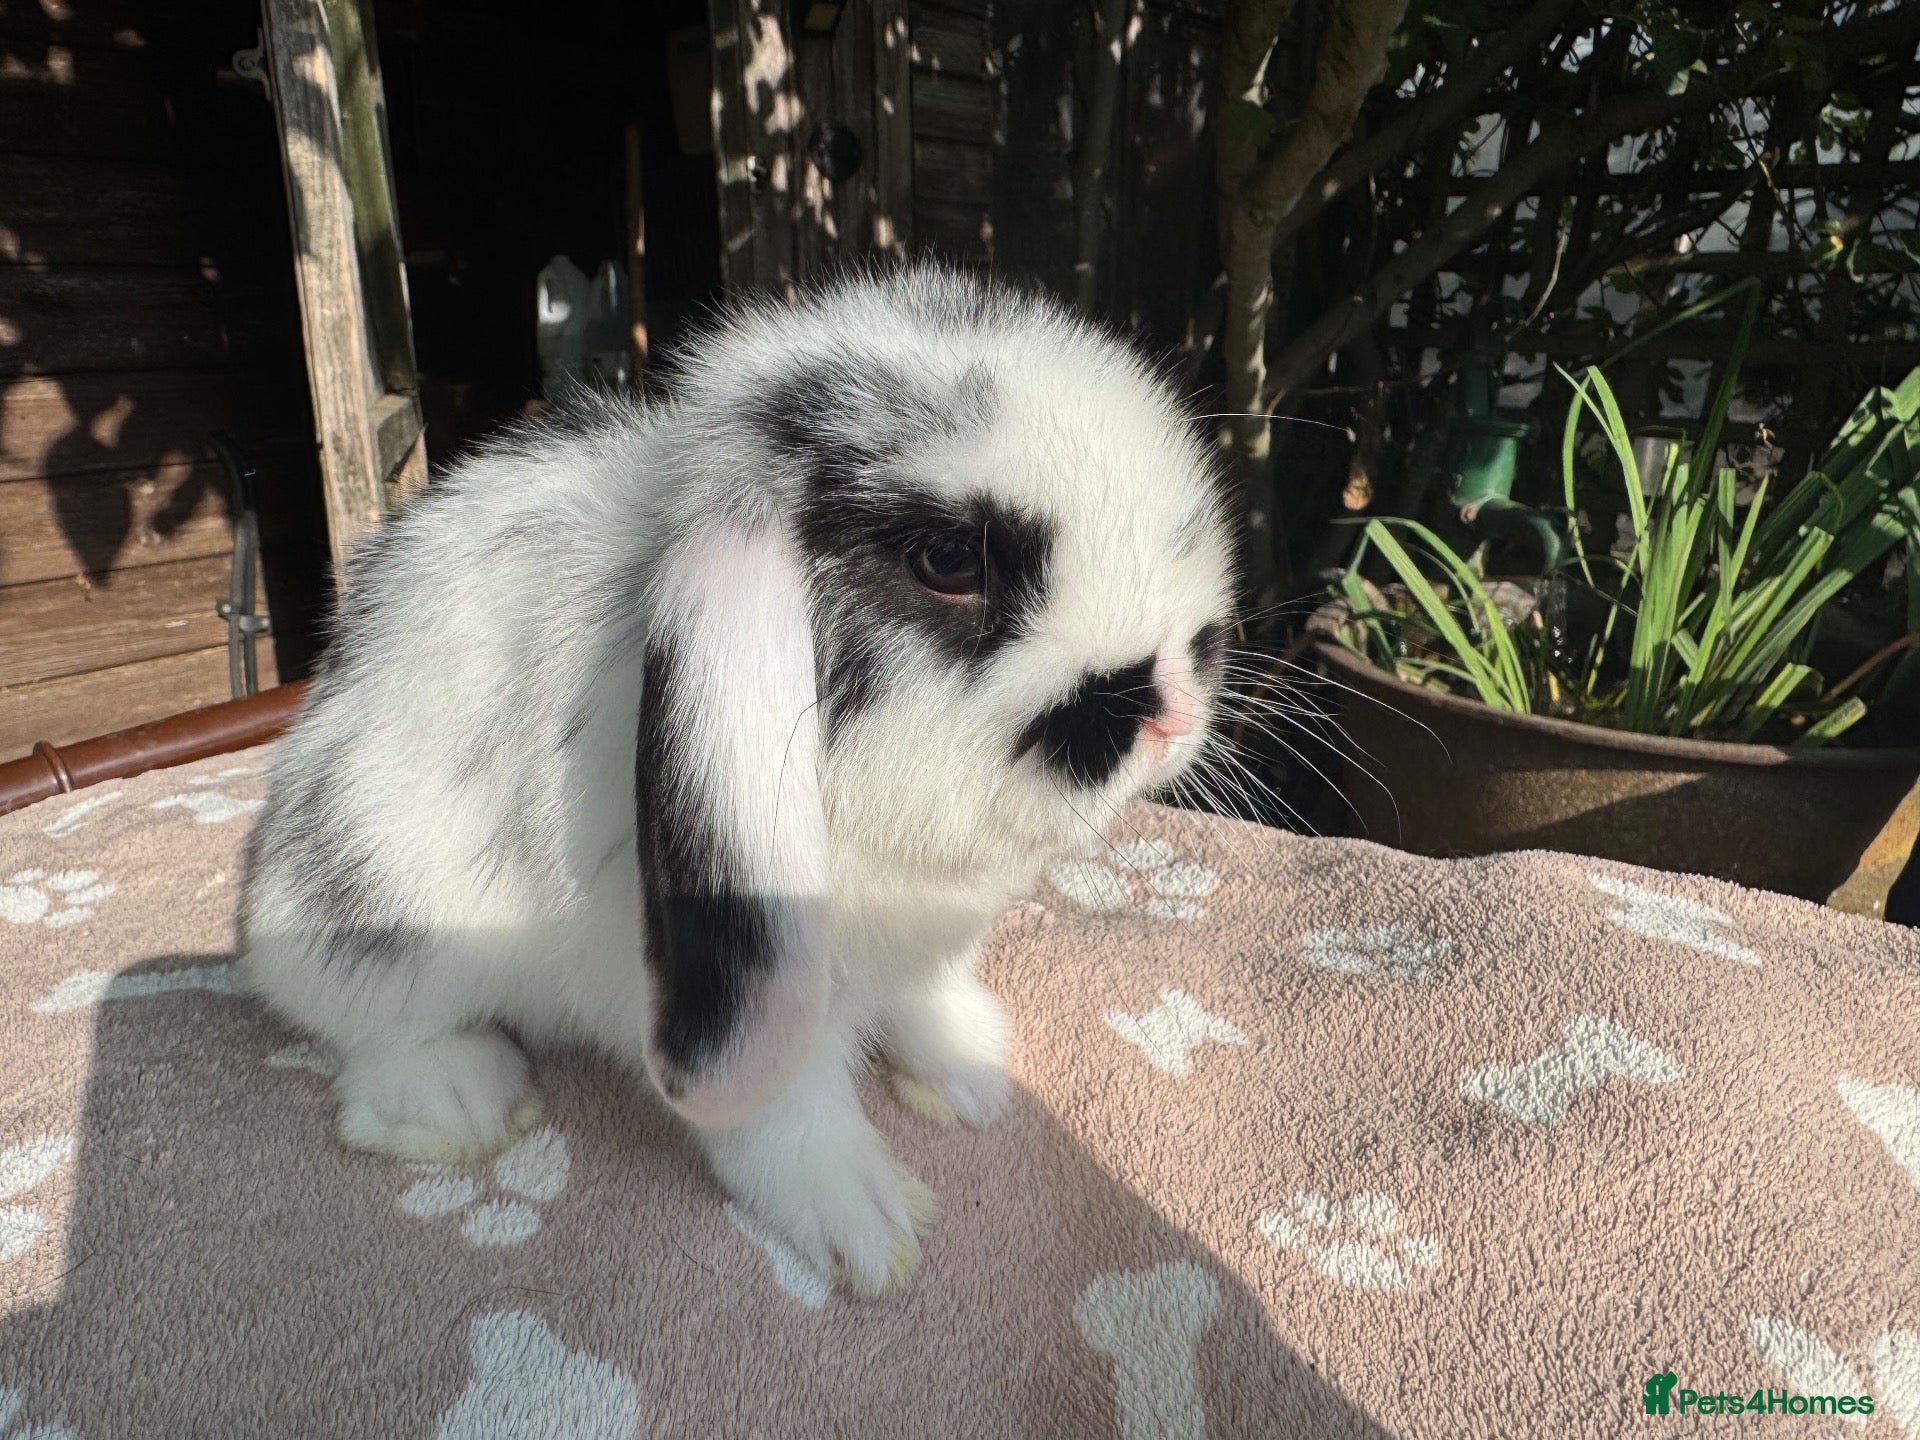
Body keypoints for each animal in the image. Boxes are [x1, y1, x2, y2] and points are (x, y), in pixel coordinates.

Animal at [236, 263, 1237, 1296]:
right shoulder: (743, 984)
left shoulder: (925, 945)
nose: (1169, 707)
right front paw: (863, 1223)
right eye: (951, 560)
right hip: (375, 891)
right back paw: (459, 1103)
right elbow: (785, 1109)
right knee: (362, 1021)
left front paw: (972, 1077)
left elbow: (929, 1000)